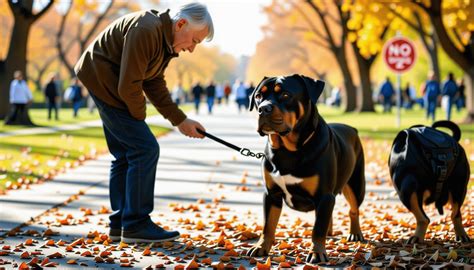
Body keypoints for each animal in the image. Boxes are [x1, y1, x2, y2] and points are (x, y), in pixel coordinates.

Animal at [246, 75, 364, 262]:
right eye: (258, 96)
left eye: (286, 95)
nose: (263, 108)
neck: (287, 150)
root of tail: (352, 128)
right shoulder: (271, 194)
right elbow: (268, 225)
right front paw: (261, 247)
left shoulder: (324, 195)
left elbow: (317, 229)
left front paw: (317, 252)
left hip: (355, 184)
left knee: (354, 209)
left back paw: (355, 233)